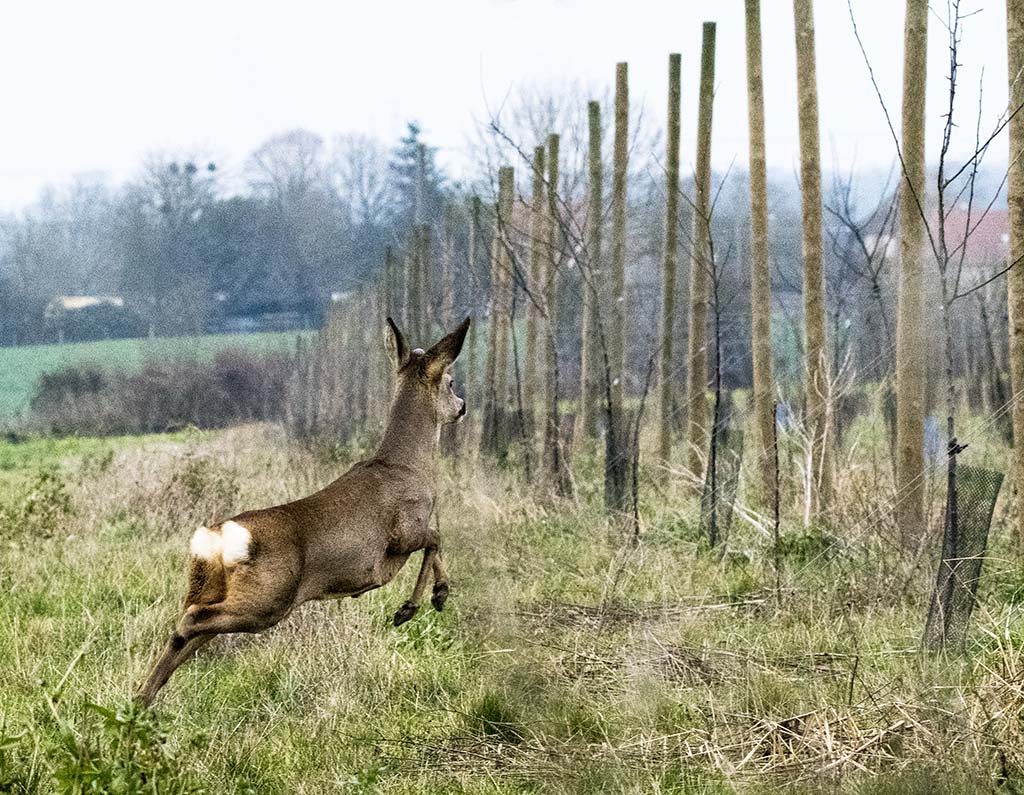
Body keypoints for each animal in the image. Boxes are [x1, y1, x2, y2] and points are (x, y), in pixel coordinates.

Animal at [138, 313, 468, 704]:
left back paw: (140, 700)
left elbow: (436, 541)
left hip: (214, 588)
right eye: (450, 381)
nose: (462, 405)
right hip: (269, 598)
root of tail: (216, 538)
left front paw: (426, 600)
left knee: (183, 637)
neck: (407, 466)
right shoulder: (404, 531)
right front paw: (422, 602)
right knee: (190, 621)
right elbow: (435, 537)